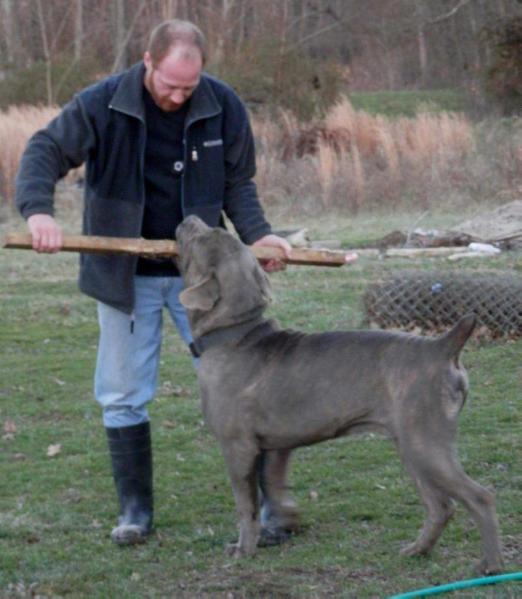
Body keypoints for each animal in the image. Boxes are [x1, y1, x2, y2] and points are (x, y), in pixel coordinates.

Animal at [177, 217, 502, 576]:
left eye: (203, 237)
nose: (189, 218)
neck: (235, 333)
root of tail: (441, 347)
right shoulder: (275, 446)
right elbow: (272, 484)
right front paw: (284, 520)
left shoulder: (238, 447)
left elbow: (245, 504)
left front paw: (243, 549)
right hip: (411, 446)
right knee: (440, 506)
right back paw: (417, 550)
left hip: (426, 444)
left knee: (480, 497)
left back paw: (491, 564)